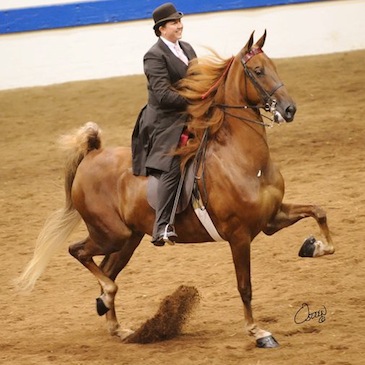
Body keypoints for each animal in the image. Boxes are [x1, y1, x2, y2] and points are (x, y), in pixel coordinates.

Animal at [16, 31, 336, 346]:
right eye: (258, 71)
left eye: (274, 67)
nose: (289, 109)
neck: (242, 160)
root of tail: (93, 153)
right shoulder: (239, 235)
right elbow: (244, 286)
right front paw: (258, 332)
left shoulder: (271, 218)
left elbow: (319, 212)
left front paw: (313, 246)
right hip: (111, 234)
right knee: (81, 253)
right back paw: (106, 296)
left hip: (129, 238)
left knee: (107, 268)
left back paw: (116, 324)